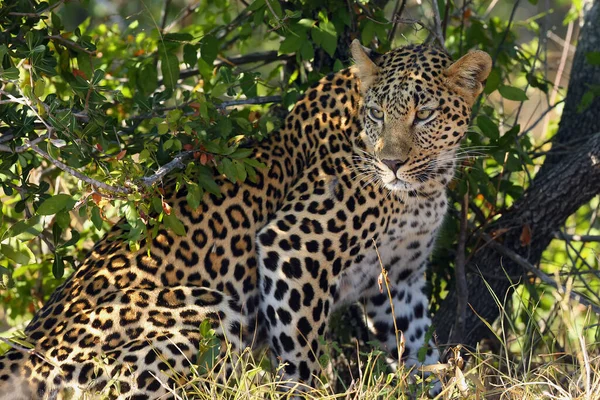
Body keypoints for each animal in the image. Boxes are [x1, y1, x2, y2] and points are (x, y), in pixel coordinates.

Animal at [0, 41, 492, 400]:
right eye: (376, 114)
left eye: (423, 114)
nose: (390, 164)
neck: (424, 187)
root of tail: (19, 355)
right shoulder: (294, 244)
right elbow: (300, 352)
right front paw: (306, 393)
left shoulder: (399, 276)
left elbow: (417, 342)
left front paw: (439, 382)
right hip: (210, 308)